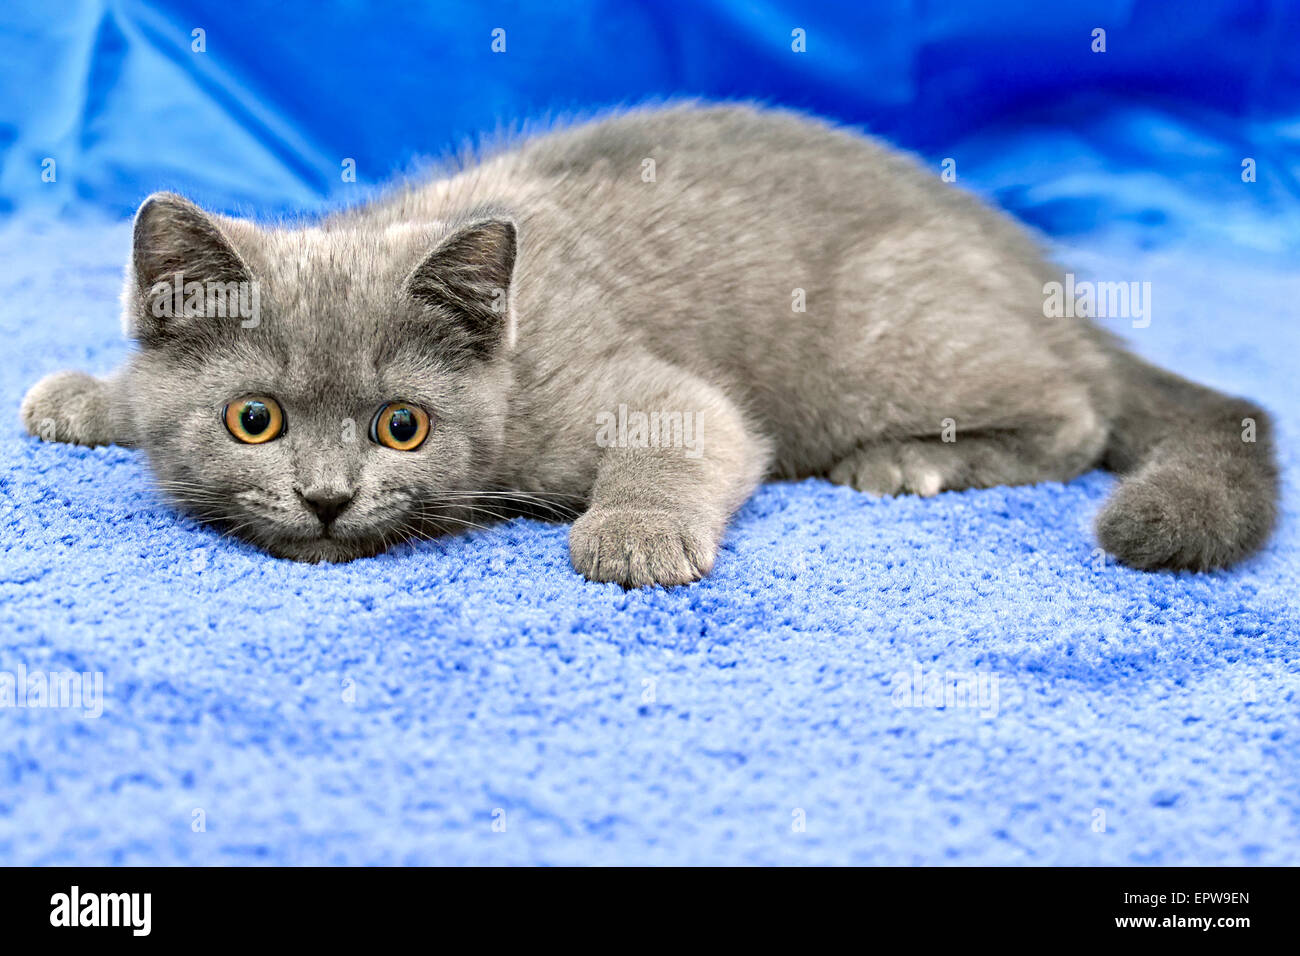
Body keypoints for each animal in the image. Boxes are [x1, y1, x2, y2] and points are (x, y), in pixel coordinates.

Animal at [20, 102, 1279, 582]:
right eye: (255, 418)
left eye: (401, 425)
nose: (327, 498)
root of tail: (1039, 271)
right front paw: (87, 395)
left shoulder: (641, 389)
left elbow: (689, 434)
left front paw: (633, 531)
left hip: (889, 333)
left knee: (1076, 411)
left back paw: (912, 460)